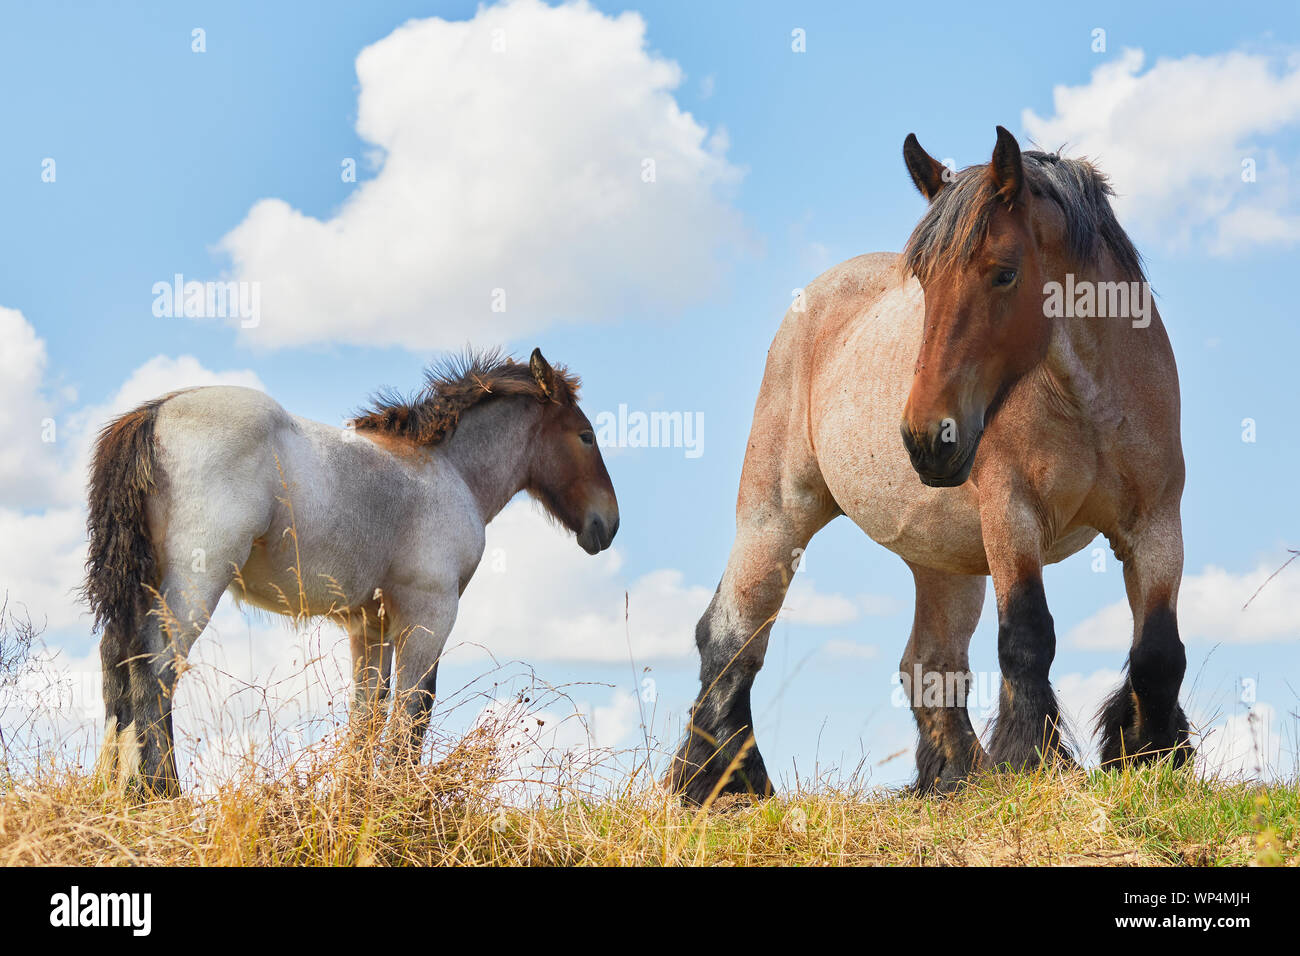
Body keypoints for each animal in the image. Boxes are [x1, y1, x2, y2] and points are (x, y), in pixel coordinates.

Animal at [85, 348, 618, 796]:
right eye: (586, 436)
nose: (608, 524)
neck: (448, 471)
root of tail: (154, 413)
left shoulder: (370, 625)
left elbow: (368, 713)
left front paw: (356, 799)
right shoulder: (431, 612)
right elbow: (413, 710)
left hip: (143, 587)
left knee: (118, 660)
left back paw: (112, 793)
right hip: (195, 583)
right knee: (157, 668)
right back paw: (160, 794)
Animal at [670, 127, 1190, 801]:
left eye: (1004, 274)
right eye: (921, 279)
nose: (926, 436)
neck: (1091, 403)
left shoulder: (1156, 525)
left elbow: (1158, 654)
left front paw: (1151, 756)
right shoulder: (1012, 516)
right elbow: (1028, 638)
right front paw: (1030, 762)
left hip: (944, 562)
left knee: (930, 663)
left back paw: (952, 777)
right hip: (775, 517)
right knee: (732, 634)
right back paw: (723, 780)